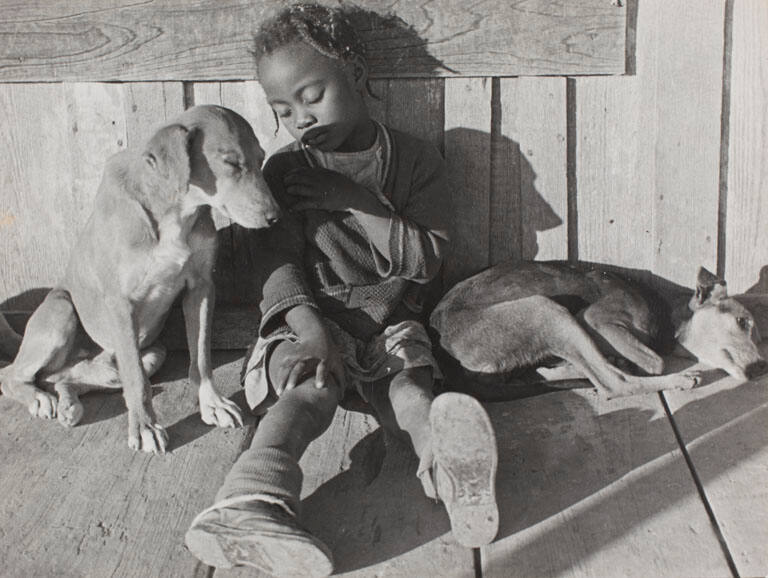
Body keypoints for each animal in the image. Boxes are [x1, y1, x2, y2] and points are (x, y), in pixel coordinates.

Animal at [0, 106, 282, 452]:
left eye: (261, 158)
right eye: (231, 163)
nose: (275, 217)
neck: (174, 211)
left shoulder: (201, 287)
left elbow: (201, 356)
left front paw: (212, 403)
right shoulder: (121, 304)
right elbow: (136, 380)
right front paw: (145, 427)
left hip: (153, 354)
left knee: (67, 376)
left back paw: (71, 402)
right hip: (60, 312)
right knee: (12, 375)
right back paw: (40, 399)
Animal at [432, 260, 768, 396]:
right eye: (742, 322)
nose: (761, 368)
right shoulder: (597, 318)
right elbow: (655, 362)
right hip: (548, 310)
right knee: (614, 384)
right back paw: (679, 380)